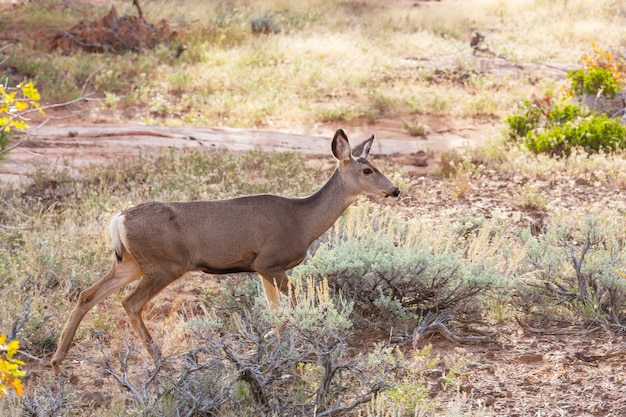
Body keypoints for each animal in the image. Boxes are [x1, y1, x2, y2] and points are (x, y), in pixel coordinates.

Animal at [50, 127, 400, 374]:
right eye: (367, 171)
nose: (395, 190)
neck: (303, 221)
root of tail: (118, 220)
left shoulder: (261, 268)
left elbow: (275, 311)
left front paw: (273, 345)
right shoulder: (271, 262)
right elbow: (293, 304)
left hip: (131, 263)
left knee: (87, 294)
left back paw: (57, 360)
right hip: (165, 264)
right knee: (130, 302)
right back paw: (159, 359)